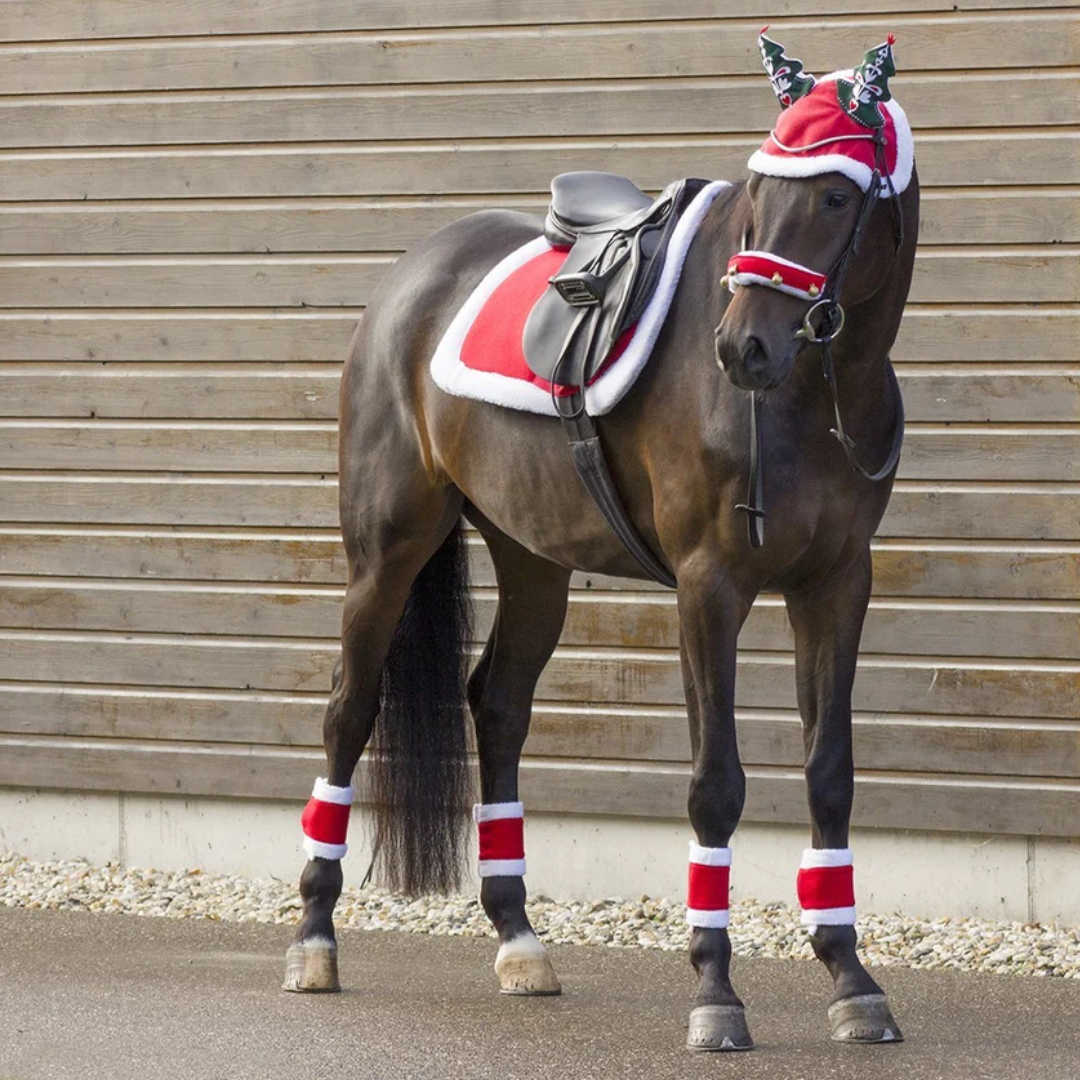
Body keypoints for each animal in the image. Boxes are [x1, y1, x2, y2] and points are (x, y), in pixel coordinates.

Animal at [282, 35, 915, 1054]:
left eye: (834, 196)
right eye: (759, 187)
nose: (742, 348)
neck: (813, 395)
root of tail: (413, 274)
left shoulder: (837, 585)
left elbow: (830, 776)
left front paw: (853, 981)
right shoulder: (710, 587)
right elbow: (715, 785)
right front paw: (716, 996)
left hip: (533, 558)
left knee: (497, 706)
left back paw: (519, 941)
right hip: (386, 550)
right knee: (349, 711)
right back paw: (313, 941)